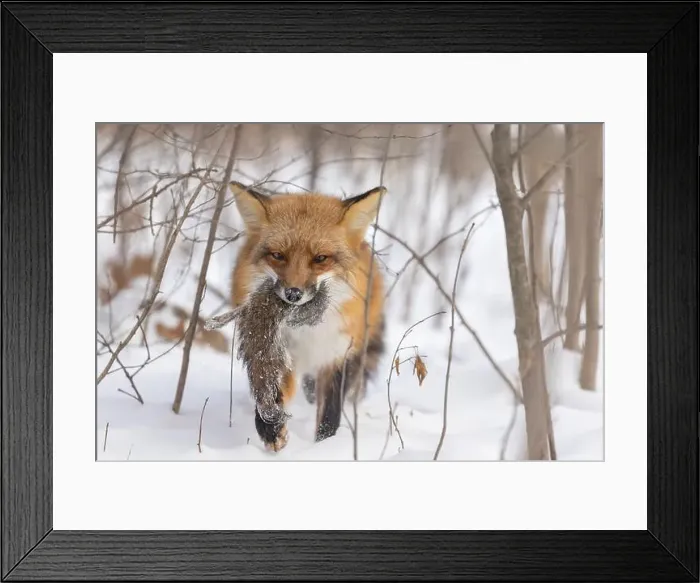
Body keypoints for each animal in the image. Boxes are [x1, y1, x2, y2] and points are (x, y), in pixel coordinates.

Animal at [229, 181, 387, 452]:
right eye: (278, 255)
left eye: (320, 258)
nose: (293, 294)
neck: (307, 331)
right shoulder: (277, 352)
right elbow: (270, 391)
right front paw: (271, 429)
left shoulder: (337, 355)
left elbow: (329, 414)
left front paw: (324, 447)